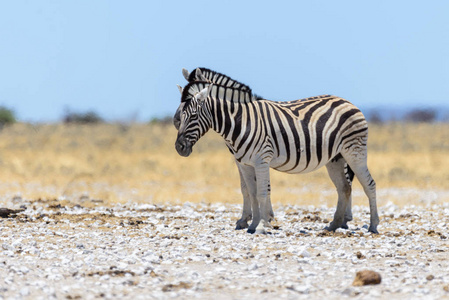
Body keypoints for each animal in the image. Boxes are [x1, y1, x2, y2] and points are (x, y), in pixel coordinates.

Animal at [173, 68, 376, 234]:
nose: (179, 147)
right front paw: (252, 223)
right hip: (335, 158)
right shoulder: (244, 163)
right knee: (344, 187)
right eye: (180, 110)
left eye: (193, 115)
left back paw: (373, 226)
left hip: (354, 151)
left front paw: (262, 224)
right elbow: (250, 191)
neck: (240, 121)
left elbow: (262, 192)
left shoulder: (261, 160)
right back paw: (334, 225)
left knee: (368, 184)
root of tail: (348, 102)